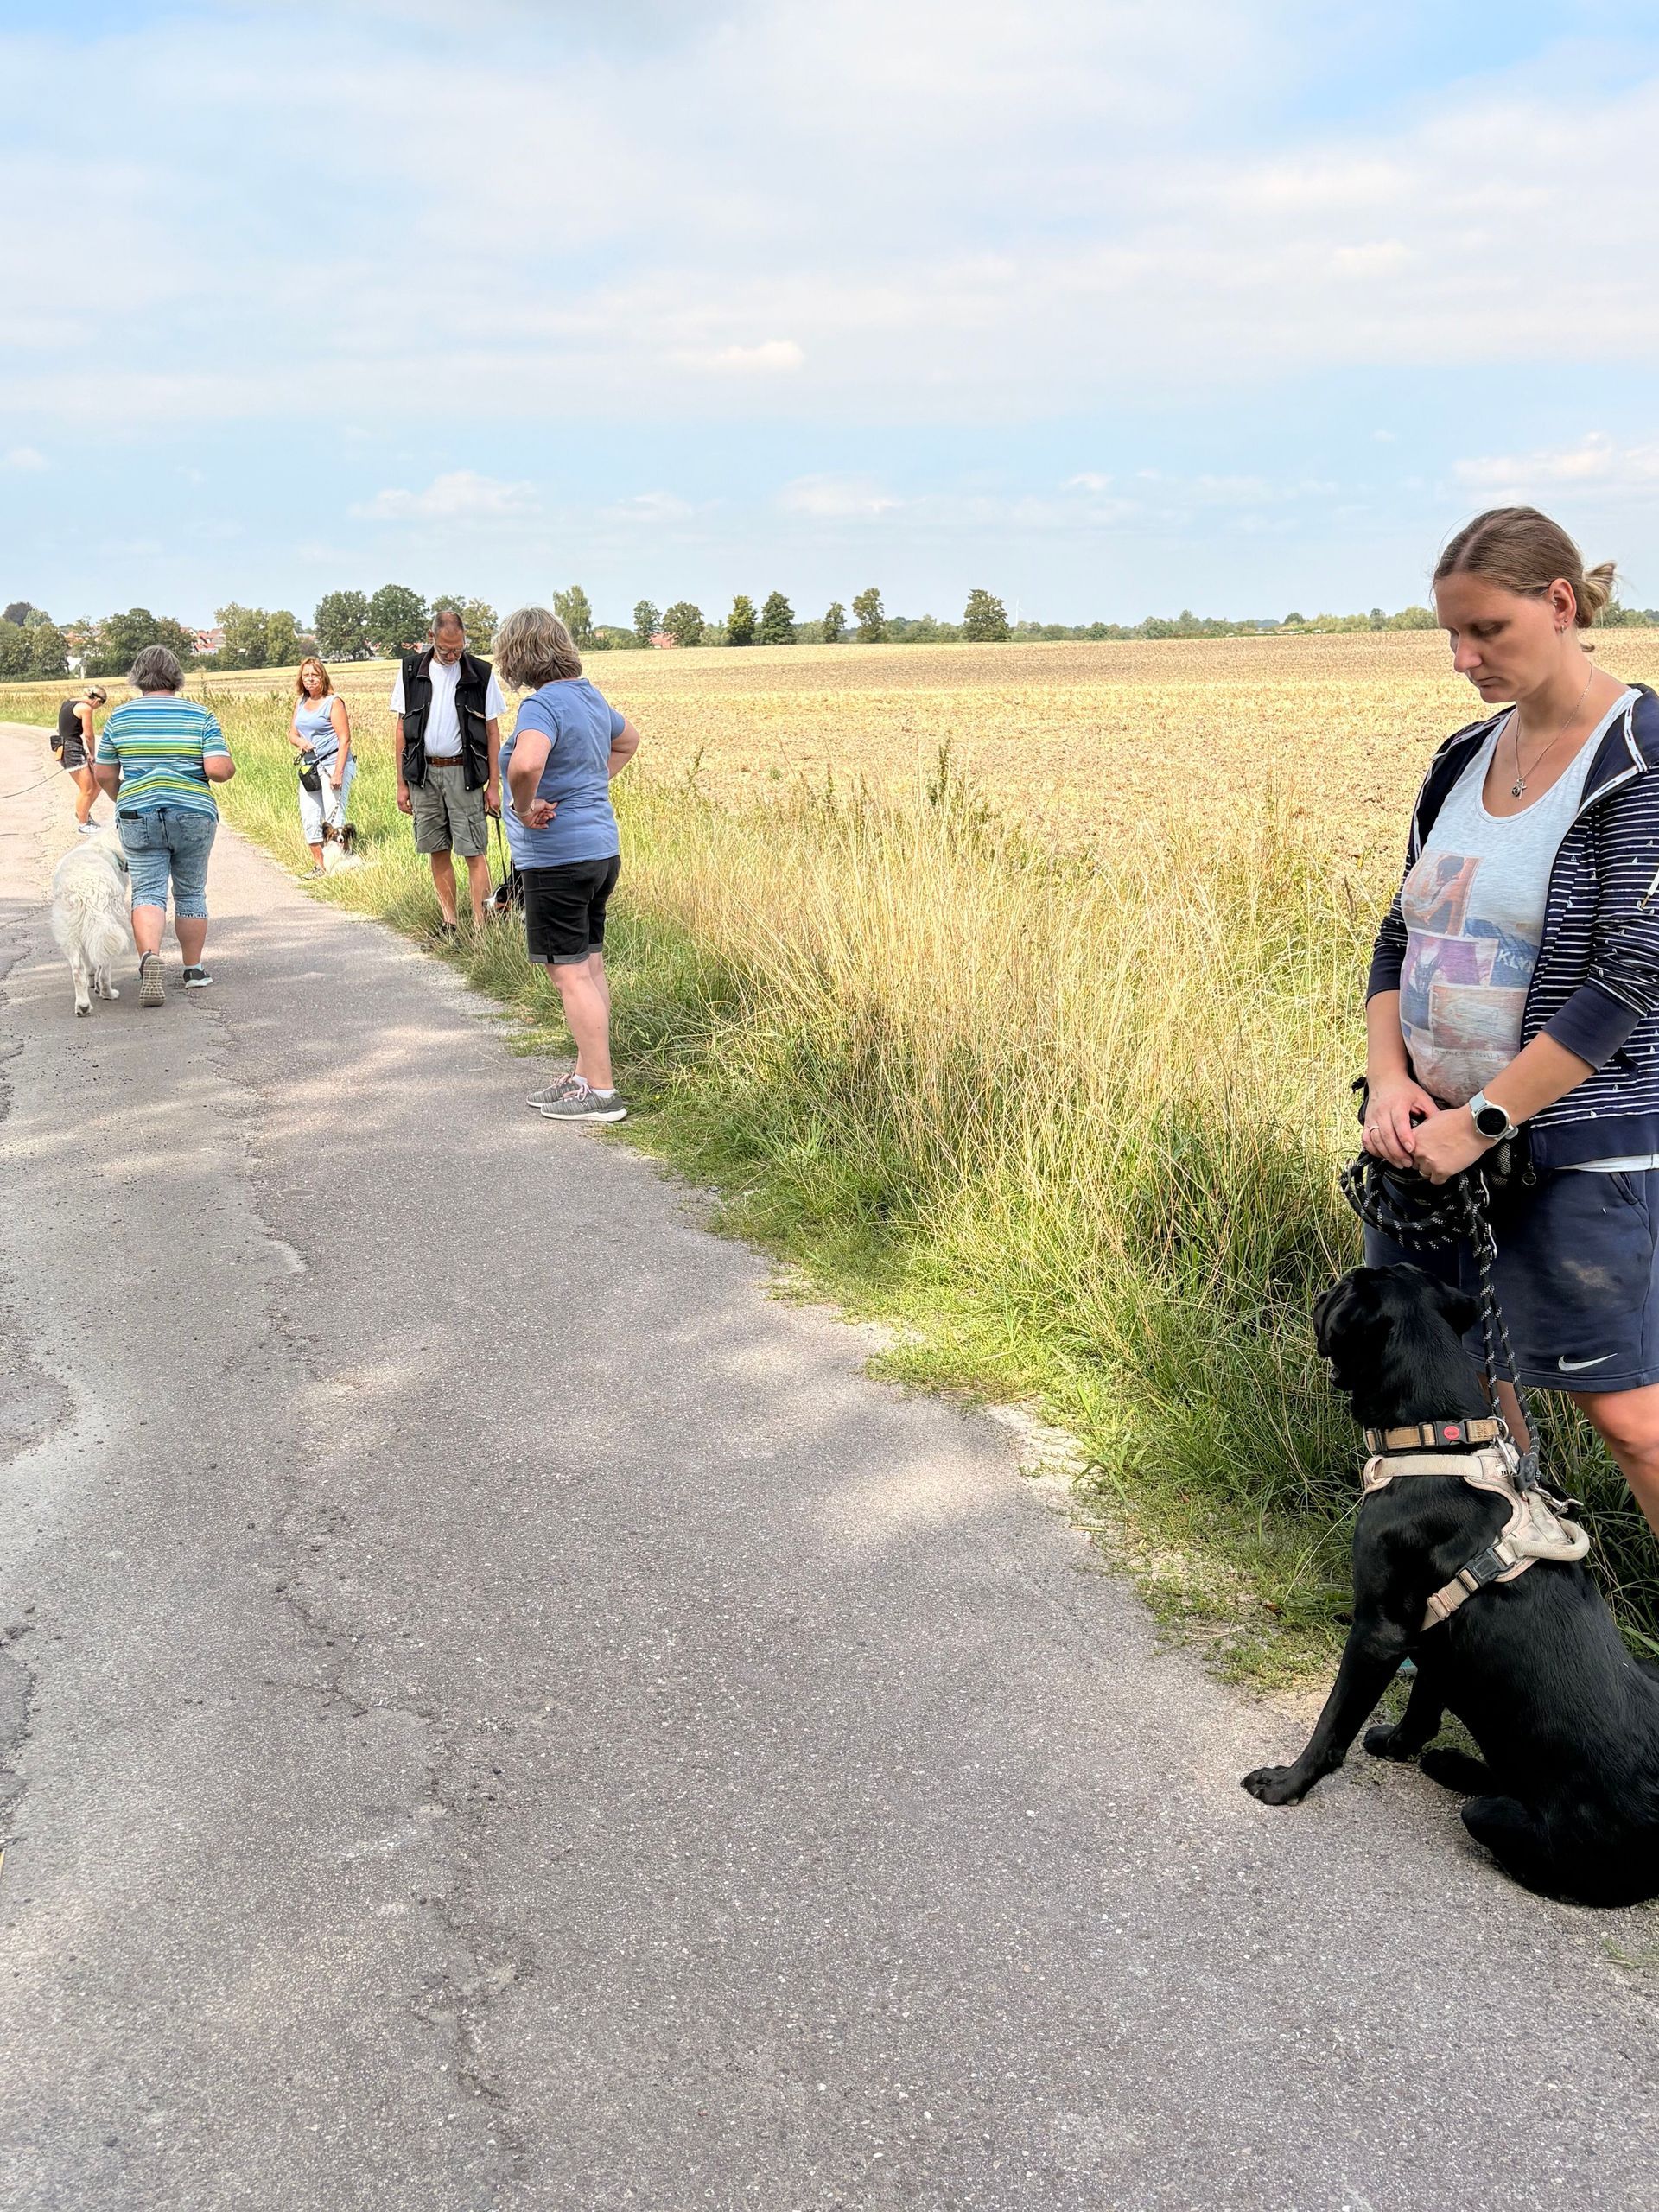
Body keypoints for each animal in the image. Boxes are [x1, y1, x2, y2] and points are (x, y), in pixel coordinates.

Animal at [50, 825, 134, 1017]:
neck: (106, 846)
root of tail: (87, 890)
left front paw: (90, 977)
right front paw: (96, 983)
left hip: (70, 933)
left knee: (77, 970)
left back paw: (83, 1006)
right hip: (113, 923)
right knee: (105, 967)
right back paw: (107, 993)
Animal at [1242, 1262, 1659, 1907]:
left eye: (1342, 1290)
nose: (1320, 1292)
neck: (1436, 1439)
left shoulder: (1381, 1629)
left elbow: (1333, 1725)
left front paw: (1287, 1783)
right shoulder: (1430, 1632)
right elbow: (1424, 1702)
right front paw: (1400, 1744)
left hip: (1504, 1823)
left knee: (1500, 1824)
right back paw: (1447, 1763)